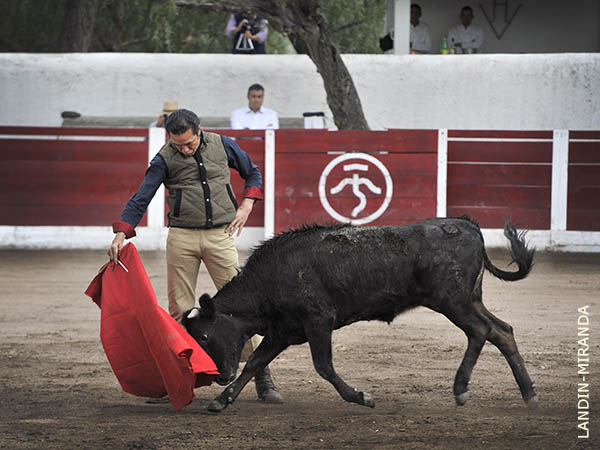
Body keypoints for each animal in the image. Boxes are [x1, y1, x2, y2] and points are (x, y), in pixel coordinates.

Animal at [180, 216, 536, 414]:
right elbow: (255, 362)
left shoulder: (318, 321)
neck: (272, 277)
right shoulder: (282, 331)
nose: (219, 376)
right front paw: (221, 401)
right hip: (469, 299)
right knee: (502, 331)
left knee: (480, 331)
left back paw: (461, 388)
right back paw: (529, 393)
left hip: (452, 301)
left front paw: (362, 397)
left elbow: (323, 366)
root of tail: (469, 226)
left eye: (205, 336)